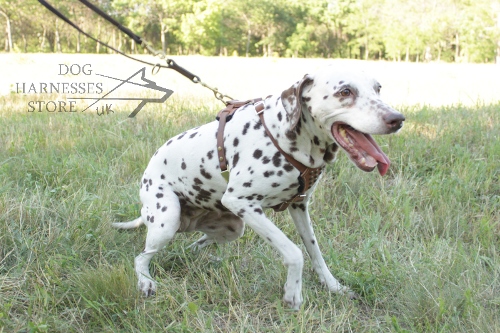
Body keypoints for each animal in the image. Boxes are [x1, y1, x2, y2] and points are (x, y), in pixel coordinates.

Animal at [111, 65, 404, 308]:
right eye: (345, 91)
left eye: (378, 88)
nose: (398, 118)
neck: (282, 133)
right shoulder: (242, 203)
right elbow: (295, 252)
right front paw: (293, 293)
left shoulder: (299, 206)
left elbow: (315, 252)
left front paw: (333, 286)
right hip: (167, 222)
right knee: (141, 257)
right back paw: (146, 282)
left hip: (232, 228)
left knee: (196, 243)